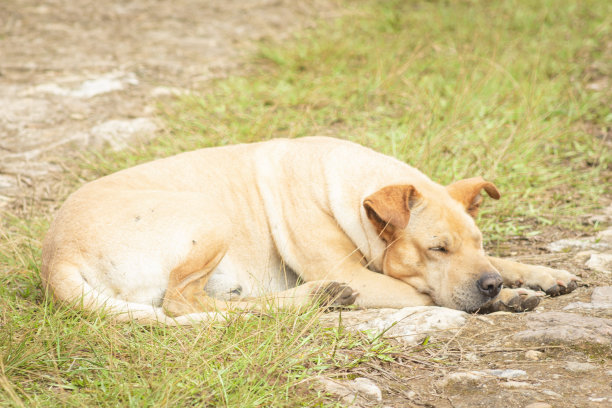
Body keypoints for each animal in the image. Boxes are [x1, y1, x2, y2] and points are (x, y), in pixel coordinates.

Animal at [41, 138, 580, 326]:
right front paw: (506, 297)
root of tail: (55, 258)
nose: (489, 285)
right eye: (437, 249)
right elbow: (428, 295)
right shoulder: (369, 278)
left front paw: (537, 275)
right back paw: (318, 297)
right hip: (211, 216)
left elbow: (507, 262)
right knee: (182, 302)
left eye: (477, 243)